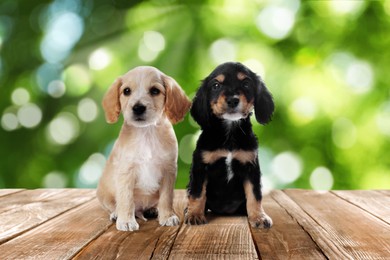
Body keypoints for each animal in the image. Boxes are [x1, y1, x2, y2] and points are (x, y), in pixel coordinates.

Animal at [96, 66, 190, 231]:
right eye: (126, 91)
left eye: (155, 91)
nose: (138, 108)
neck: (147, 132)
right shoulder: (126, 171)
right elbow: (126, 199)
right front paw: (126, 221)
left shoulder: (168, 170)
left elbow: (166, 198)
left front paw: (167, 216)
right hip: (104, 194)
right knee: (115, 205)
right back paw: (116, 214)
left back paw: (153, 210)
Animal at [185, 61, 274, 228]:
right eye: (216, 85)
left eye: (246, 83)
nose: (233, 100)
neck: (230, 134)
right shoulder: (200, 166)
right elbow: (198, 193)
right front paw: (194, 215)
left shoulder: (251, 167)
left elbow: (254, 195)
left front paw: (259, 217)